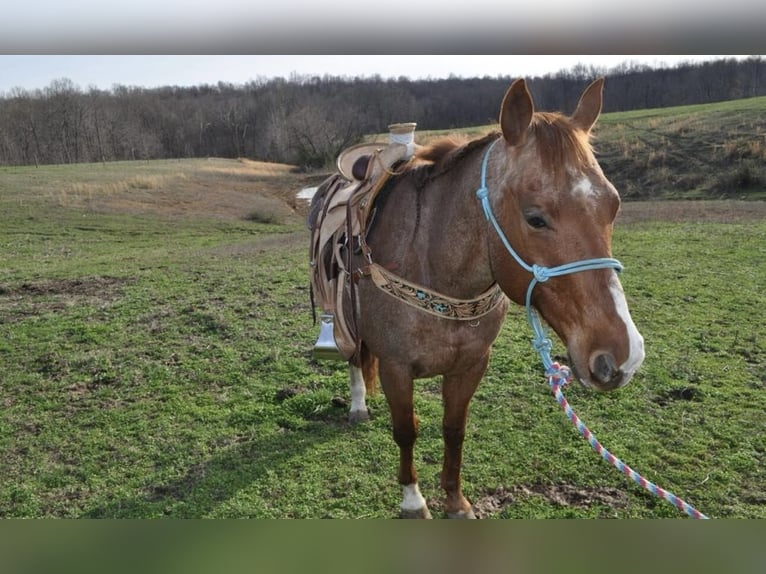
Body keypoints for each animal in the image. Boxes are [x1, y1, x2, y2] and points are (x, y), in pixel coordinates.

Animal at [330, 79, 648, 520]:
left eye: (613, 206)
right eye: (534, 217)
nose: (623, 354)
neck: (437, 272)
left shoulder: (471, 364)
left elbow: (454, 429)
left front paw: (455, 500)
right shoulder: (396, 367)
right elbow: (406, 430)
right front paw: (413, 500)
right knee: (355, 358)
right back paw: (358, 405)